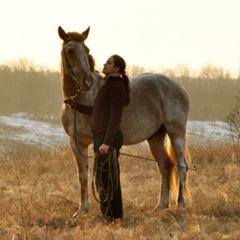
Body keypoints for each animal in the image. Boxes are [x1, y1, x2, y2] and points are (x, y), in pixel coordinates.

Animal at [57, 25, 190, 218]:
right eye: (70, 50)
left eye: (87, 50)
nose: (87, 82)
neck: (82, 99)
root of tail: (179, 87)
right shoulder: (76, 143)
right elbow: (82, 175)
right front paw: (81, 210)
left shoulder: (99, 143)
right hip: (155, 138)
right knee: (164, 166)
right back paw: (160, 205)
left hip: (176, 133)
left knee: (181, 166)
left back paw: (180, 205)